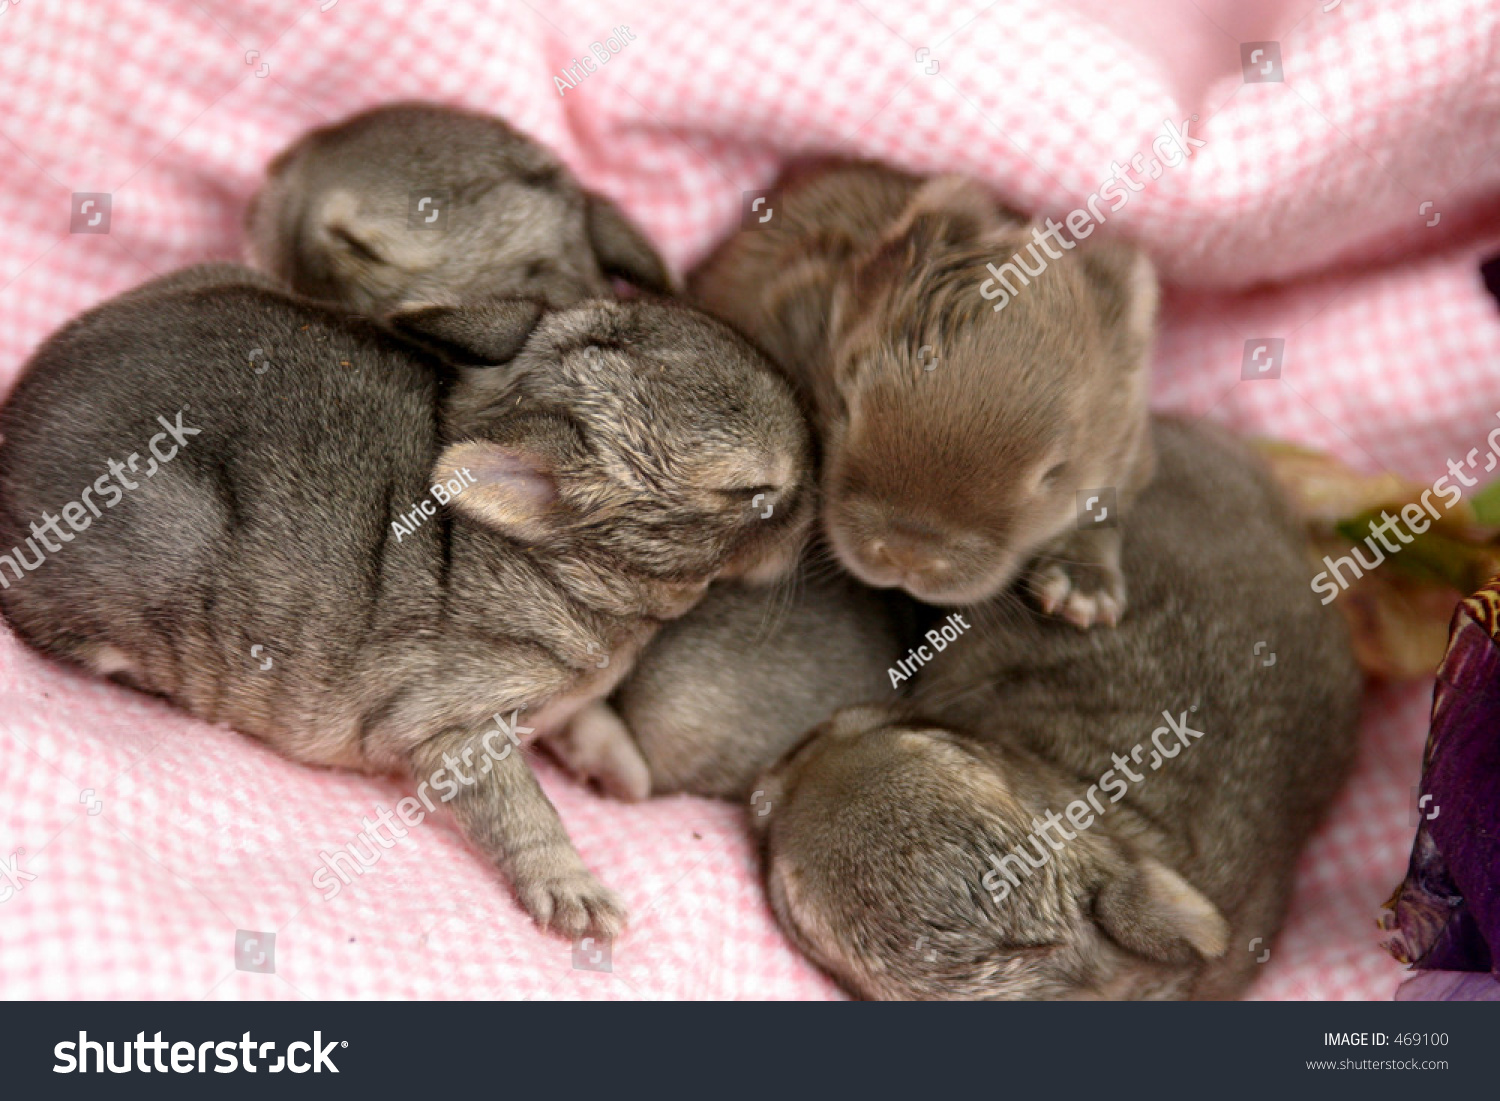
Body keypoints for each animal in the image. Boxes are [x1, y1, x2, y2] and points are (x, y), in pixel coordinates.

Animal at [0, 265, 816, 942]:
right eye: (752, 492)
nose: (813, 509)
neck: (559, 556)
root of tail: (14, 425)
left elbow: (586, 721)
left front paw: (622, 772)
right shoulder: (449, 723)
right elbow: (520, 809)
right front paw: (577, 898)